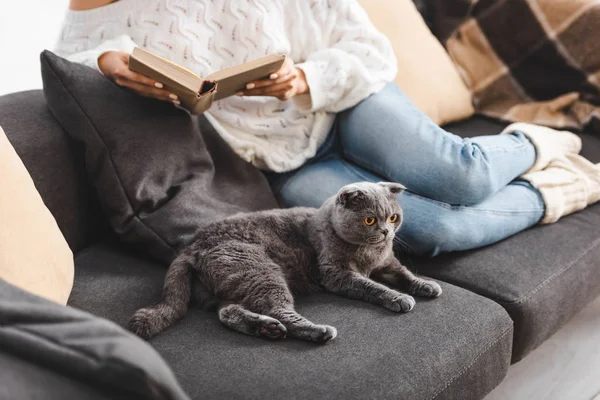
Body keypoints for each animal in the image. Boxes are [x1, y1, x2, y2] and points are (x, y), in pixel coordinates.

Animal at [129, 183, 440, 342]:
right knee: (278, 309)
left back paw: (266, 329)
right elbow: (371, 286)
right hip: (261, 271)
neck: (368, 253)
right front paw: (399, 298)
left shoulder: (388, 263)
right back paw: (317, 331)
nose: (387, 232)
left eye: (393, 217)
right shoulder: (336, 274)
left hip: (227, 288)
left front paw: (426, 285)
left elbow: (404, 273)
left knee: (228, 311)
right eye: (370, 220)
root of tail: (190, 247)